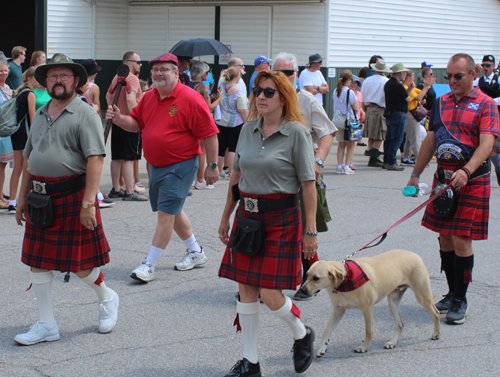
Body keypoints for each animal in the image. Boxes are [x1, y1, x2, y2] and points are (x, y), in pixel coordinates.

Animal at [298, 248, 440, 354]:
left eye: (316, 278)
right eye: (307, 275)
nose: (302, 290)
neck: (344, 281)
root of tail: (415, 254)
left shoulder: (367, 308)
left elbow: (368, 331)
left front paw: (364, 347)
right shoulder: (339, 311)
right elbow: (327, 330)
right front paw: (323, 347)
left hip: (422, 296)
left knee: (436, 313)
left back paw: (436, 334)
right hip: (393, 301)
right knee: (400, 325)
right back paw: (392, 342)